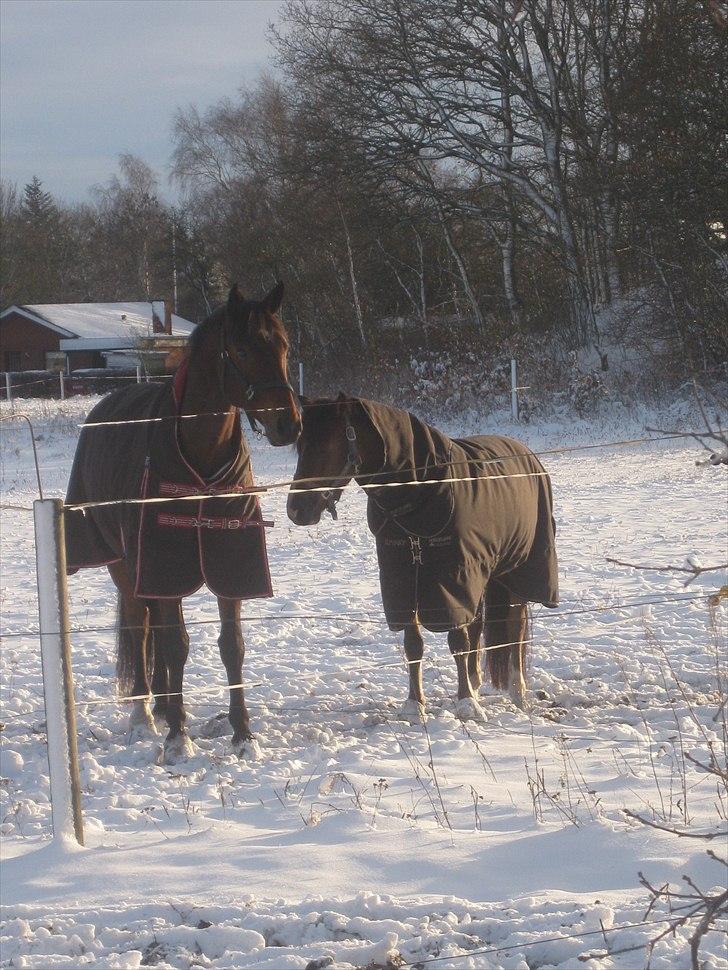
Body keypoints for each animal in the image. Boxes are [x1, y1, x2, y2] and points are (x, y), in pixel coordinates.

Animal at [64, 283, 301, 762]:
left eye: (284, 346)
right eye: (243, 350)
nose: (290, 424)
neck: (201, 462)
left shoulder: (229, 565)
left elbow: (232, 647)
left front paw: (242, 734)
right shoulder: (164, 563)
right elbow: (176, 646)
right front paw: (178, 736)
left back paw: (161, 704)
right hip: (125, 565)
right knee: (139, 624)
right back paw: (145, 715)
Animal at [287, 394, 558, 720]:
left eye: (328, 444)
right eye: (301, 446)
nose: (297, 510)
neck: (418, 495)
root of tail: (525, 452)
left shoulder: (450, 579)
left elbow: (457, 641)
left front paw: (467, 703)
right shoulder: (403, 579)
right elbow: (413, 643)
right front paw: (415, 706)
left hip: (515, 568)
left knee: (514, 627)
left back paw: (517, 693)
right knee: (479, 625)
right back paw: (477, 682)